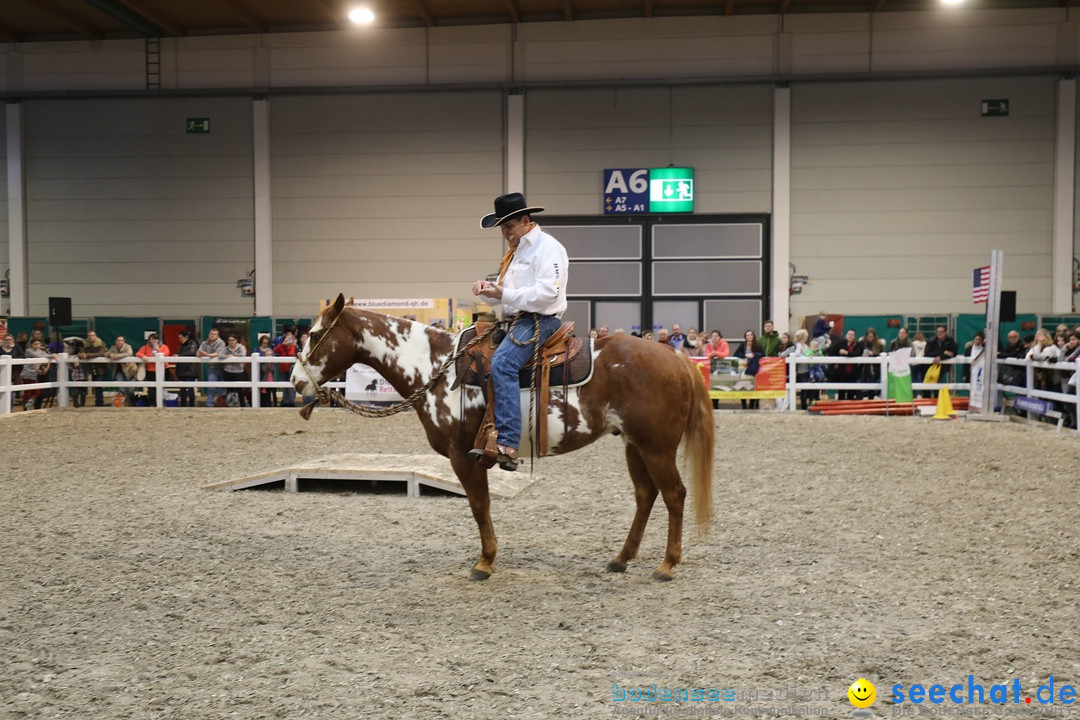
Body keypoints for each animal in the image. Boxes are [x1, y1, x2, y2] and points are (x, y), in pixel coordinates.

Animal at [291, 295, 712, 582]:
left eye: (315, 334)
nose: (296, 382)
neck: (436, 368)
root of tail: (677, 359)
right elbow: (484, 506)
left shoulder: (463, 455)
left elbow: (479, 506)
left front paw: (485, 561)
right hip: (633, 444)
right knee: (646, 495)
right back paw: (621, 558)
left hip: (656, 447)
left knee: (674, 495)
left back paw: (667, 564)